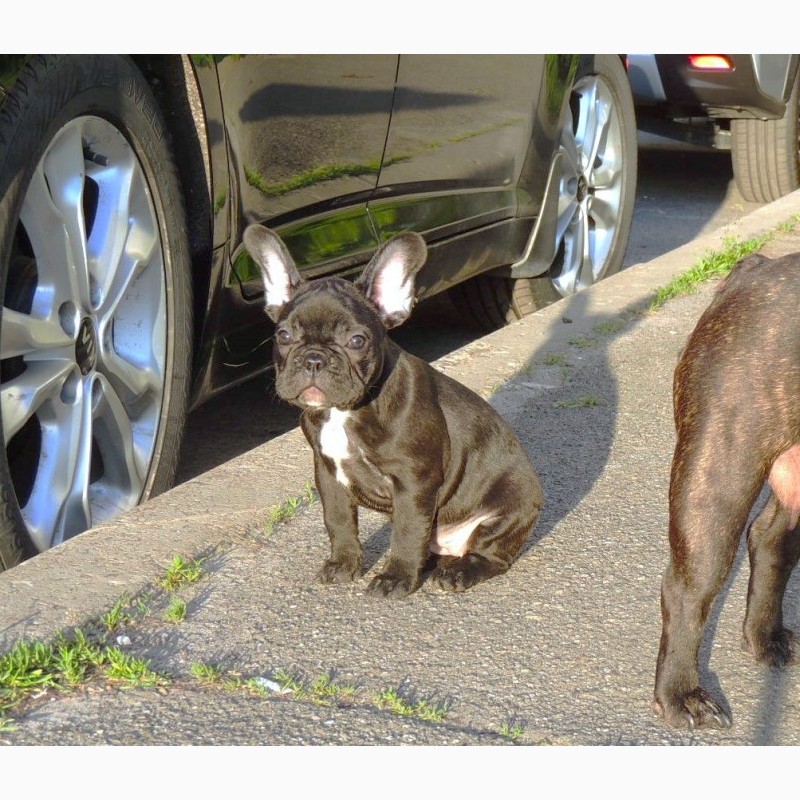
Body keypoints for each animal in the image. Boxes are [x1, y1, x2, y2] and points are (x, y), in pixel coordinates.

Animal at [244, 225, 544, 600]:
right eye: (283, 336)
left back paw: (458, 572)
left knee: (488, 554)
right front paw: (344, 564)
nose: (313, 358)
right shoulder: (327, 474)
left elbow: (406, 532)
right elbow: (338, 521)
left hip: (508, 513)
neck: (342, 412)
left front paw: (396, 577)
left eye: (356, 341)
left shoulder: (413, 482)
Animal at [652, 253, 800, 728]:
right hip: (722, 468)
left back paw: (765, 638)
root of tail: (755, 269)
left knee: (771, 541)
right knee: (689, 588)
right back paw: (680, 693)